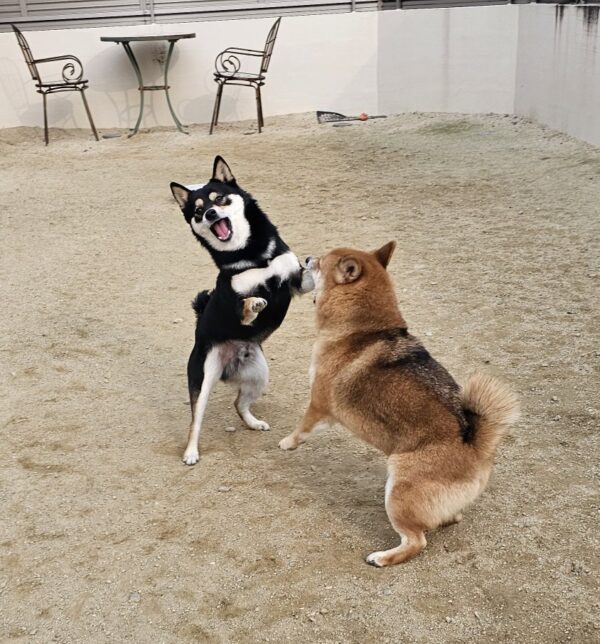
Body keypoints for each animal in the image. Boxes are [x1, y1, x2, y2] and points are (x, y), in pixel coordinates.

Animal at [170, 156, 313, 465]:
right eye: (197, 211)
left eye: (219, 199)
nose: (211, 213)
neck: (253, 256)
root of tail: (229, 364)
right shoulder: (233, 300)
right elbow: (246, 307)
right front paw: (255, 303)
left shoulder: (293, 282)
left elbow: (306, 276)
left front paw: (316, 263)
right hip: (204, 378)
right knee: (195, 422)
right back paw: (191, 452)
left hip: (259, 375)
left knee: (238, 403)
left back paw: (253, 422)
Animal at [279, 242, 519, 566]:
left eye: (320, 262)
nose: (305, 258)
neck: (362, 330)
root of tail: (475, 448)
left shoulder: (319, 404)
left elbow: (301, 429)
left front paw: (287, 443)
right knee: (446, 520)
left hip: (397, 489)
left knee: (416, 542)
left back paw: (382, 558)